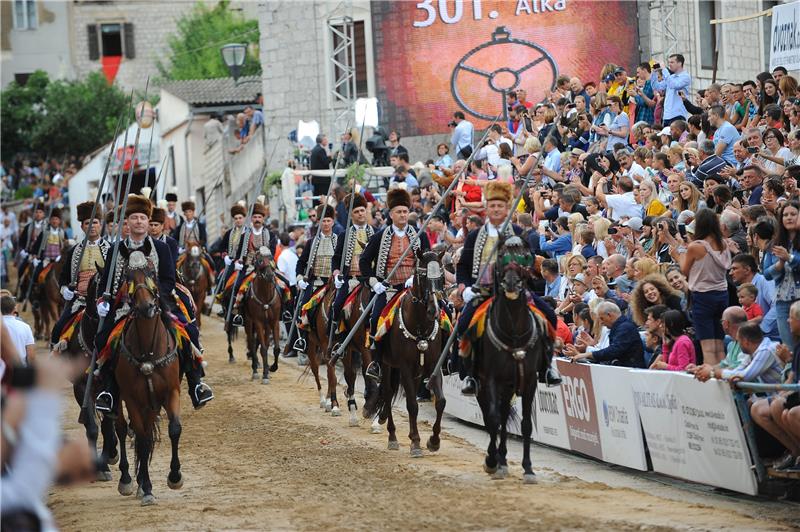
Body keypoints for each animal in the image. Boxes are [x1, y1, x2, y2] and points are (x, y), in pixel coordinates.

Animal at [113, 247, 184, 504]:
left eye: (152, 272)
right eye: (127, 276)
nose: (146, 308)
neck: (148, 351)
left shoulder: (171, 392)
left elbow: (174, 429)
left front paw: (175, 476)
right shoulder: (132, 399)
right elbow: (142, 439)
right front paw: (147, 488)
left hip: (152, 403)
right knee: (122, 428)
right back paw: (129, 480)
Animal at [241, 246, 282, 382]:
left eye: (271, 258)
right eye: (259, 260)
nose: (269, 275)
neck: (265, 297)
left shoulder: (274, 321)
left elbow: (276, 348)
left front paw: (272, 367)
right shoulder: (257, 322)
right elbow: (263, 349)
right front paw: (264, 374)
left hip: (267, 324)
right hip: (249, 321)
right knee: (252, 342)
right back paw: (255, 369)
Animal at [364, 250, 446, 458]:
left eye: (441, 277)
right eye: (423, 276)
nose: (434, 310)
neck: (420, 327)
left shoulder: (433, 365)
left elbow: (440, 401)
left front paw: (433, 441)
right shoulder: (405, 367)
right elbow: (411, 405)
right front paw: (416, 443)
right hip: (387, 365)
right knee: (387, 392)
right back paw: (392, 436)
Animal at [476, 239, 552, 484]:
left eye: (526, 256)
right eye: (501, 257)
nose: (511, 284)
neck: (514, 333)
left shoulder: (529, 381)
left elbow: (526, 425)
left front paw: (528, 469)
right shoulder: (491, 379)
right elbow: (492, 419)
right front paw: (491, 461)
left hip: (510, 385)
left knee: (502, 416)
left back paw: (503, 460)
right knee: (493, 417)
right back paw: (497, 461)